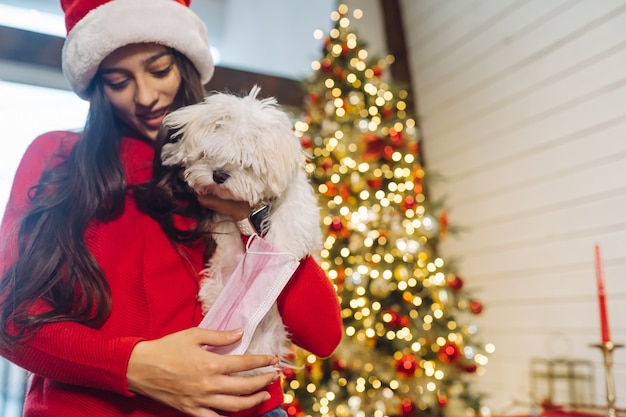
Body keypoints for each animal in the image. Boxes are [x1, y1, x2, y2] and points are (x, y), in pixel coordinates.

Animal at [160, 86, 322, 366]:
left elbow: (291, 216)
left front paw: (281, 248)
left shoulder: (293, 196)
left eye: (246, 164)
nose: (219, 175)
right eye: (210, 154)